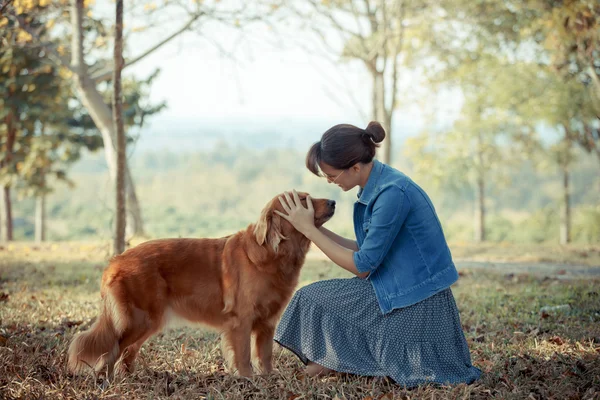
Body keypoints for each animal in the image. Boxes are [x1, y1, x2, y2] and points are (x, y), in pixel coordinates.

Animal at [68, 192, 336, 376]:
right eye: (303, 200)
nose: (333, 201)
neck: (273, 253)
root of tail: (116, 260)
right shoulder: (241, 320)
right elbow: (244, 356)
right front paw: (247, 379)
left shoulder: (266, 323)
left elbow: (265, 356)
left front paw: (267, 378)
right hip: (138, 320)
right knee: (113, 349)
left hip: (150, 322)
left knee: (126, 351)